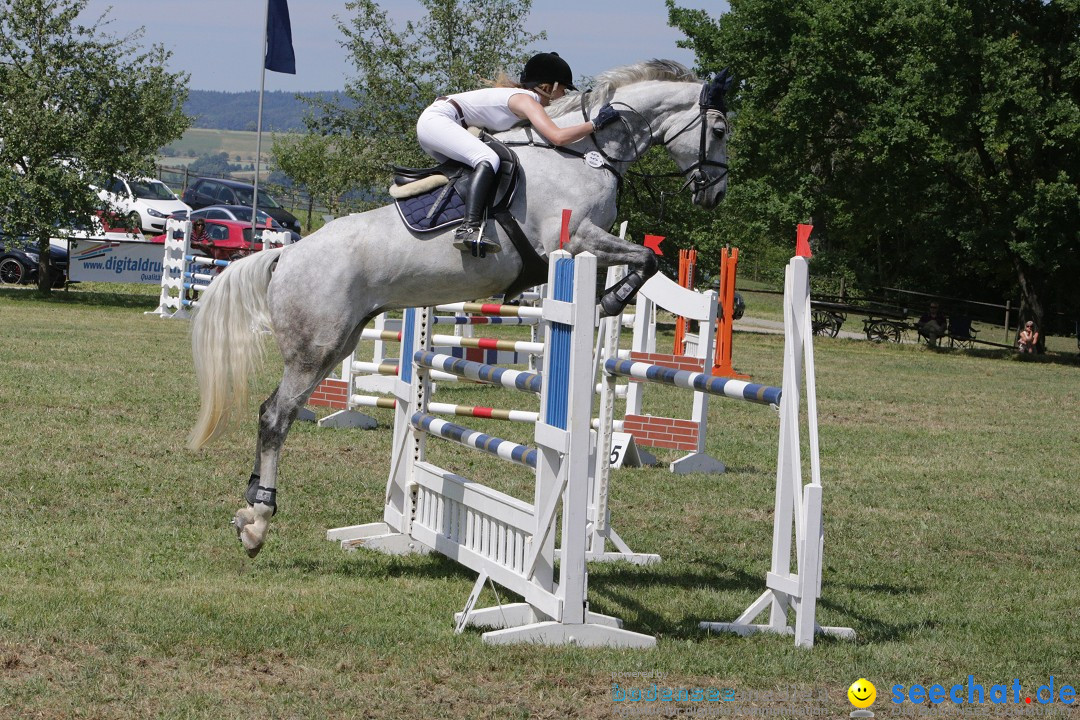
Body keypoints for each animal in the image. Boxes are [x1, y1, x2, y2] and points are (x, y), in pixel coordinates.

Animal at [190, 62, 734, 557]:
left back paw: (247, 512)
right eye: (721, 129)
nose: (715, 194)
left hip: (339, 342)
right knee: (275, 416)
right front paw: (609, 300)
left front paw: (610, 299)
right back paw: (258, 521)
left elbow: (647, 258)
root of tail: (284, 256)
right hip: (315, 349)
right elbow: (647, 257)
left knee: (278, 411)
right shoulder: (577, 239)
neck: (586, 153)